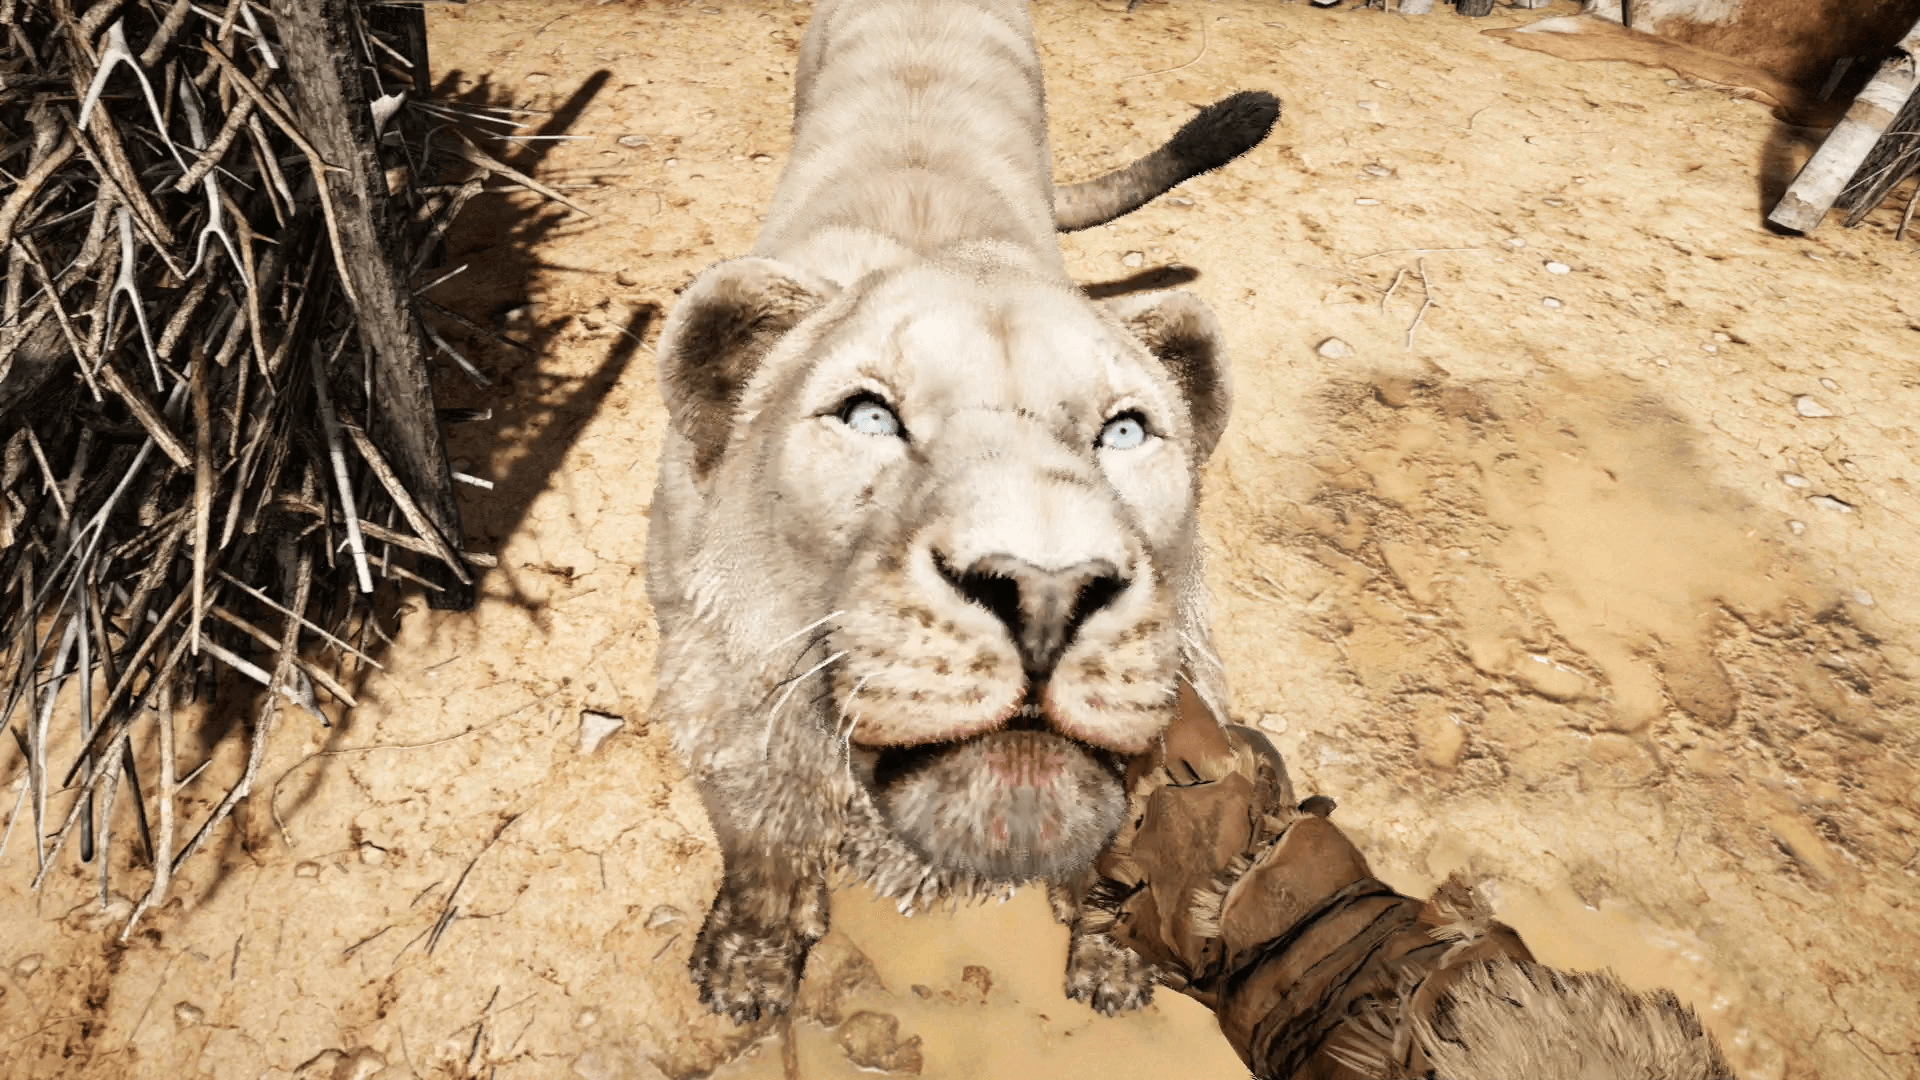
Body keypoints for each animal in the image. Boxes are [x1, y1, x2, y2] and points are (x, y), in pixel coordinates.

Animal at [645, 0, 1276, 1024]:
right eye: (869, 416)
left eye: (1125, 431)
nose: (1048, 592)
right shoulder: (718, 677)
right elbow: (760, 830)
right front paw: (749, 962)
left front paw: (1120, 952)